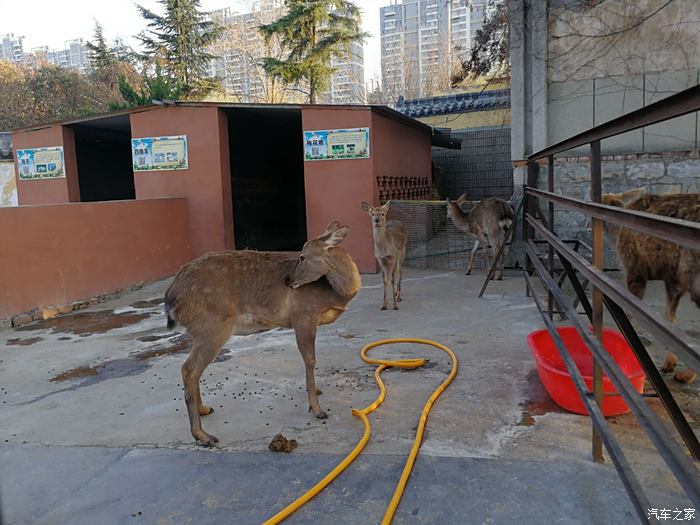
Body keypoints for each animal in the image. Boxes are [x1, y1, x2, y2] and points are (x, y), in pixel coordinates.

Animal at [165, 219, 360, 444]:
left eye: (303, 256)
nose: (288, 280)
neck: (335, 294)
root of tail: (171, 298)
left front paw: (317, 392)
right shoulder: (304, 314)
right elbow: (310, 360)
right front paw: (317, 409)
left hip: (197, 332)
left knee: (192, 369)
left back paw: (204, 409)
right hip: (212, 327)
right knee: (189, 369)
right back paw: (203, 435)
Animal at [600, 188, 700, 380]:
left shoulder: (635, 270)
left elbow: (631, 313)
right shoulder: (672, 280)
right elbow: (670, 318)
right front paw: (669, 363)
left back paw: (687, 375)